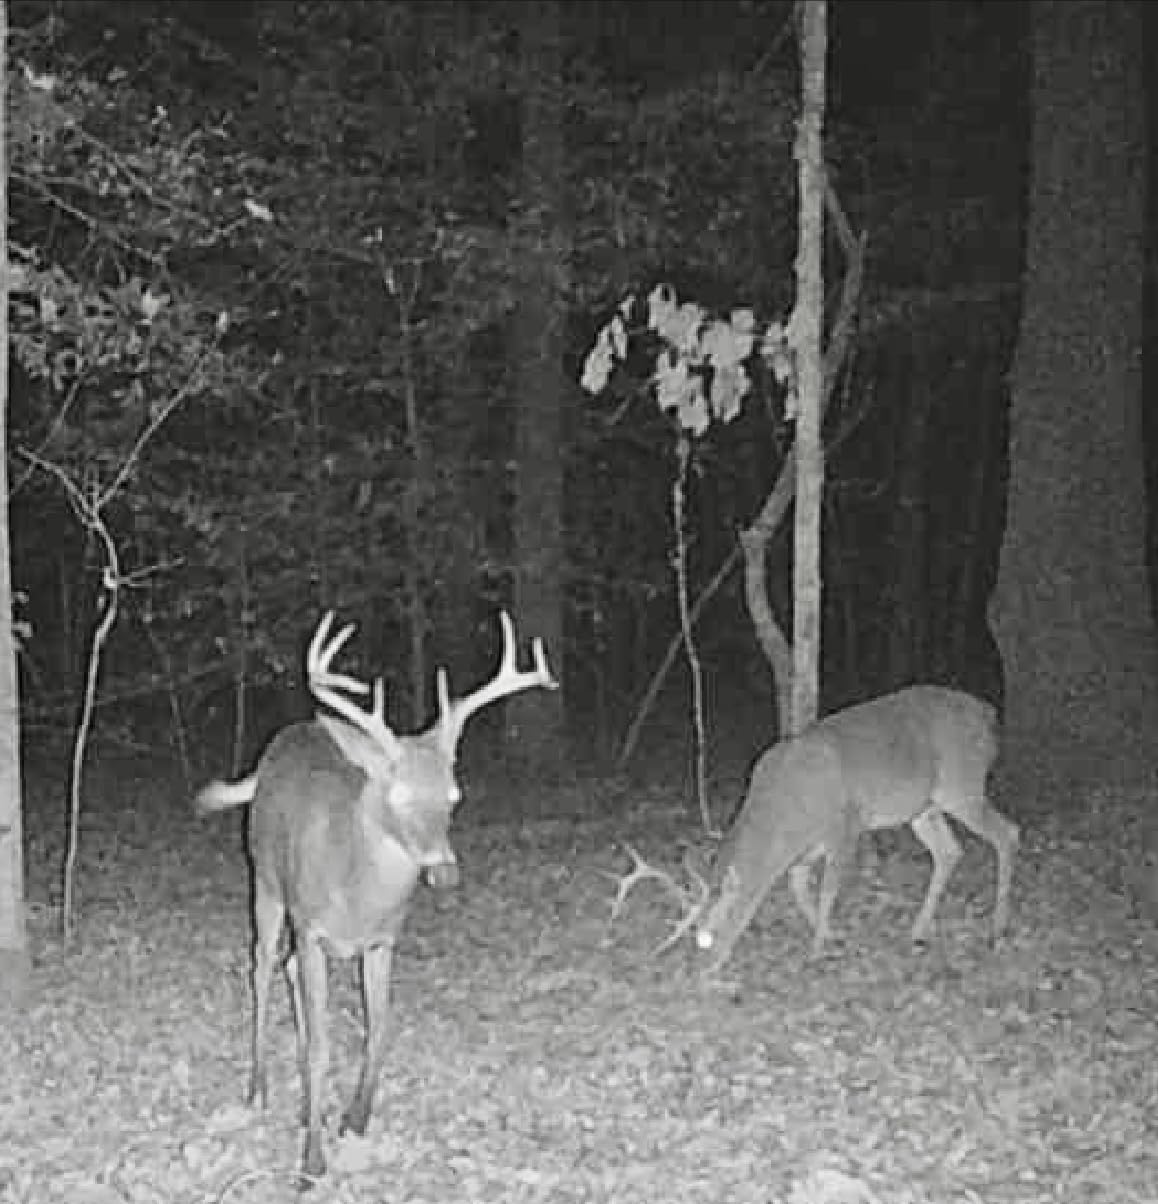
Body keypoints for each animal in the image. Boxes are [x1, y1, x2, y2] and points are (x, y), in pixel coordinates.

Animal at [195, 610, 557, 1184]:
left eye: (454, 795)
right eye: (398, 794)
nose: (444, 872)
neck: (357, 891)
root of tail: (280, 742)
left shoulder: (383, 939)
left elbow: (379, 1027)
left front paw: (353, 1121)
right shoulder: (312, 925)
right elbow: (322, 1046)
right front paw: (312, 1163)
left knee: (287, 969)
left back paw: (306, 1105)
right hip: (268, 882)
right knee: (262, 965)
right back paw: (258, 1091)